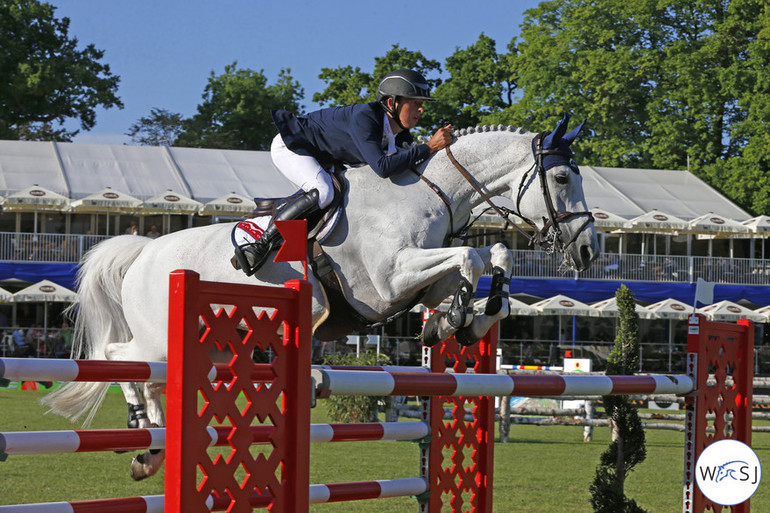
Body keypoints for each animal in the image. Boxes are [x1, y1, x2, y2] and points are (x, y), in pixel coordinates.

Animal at [39, 113, 596, 480]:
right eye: (561, 176)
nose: (588, 249)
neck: (427, 193)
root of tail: (145, 250)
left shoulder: (417, 279)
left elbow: (488, 257)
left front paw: (462, 319)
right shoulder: (390, 280)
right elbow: (470, 259)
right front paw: (460, 316)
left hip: (208, 340)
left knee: (152, 379)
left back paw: (149, 450)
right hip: (157, 336)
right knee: (120, 359)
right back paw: (140, 430)